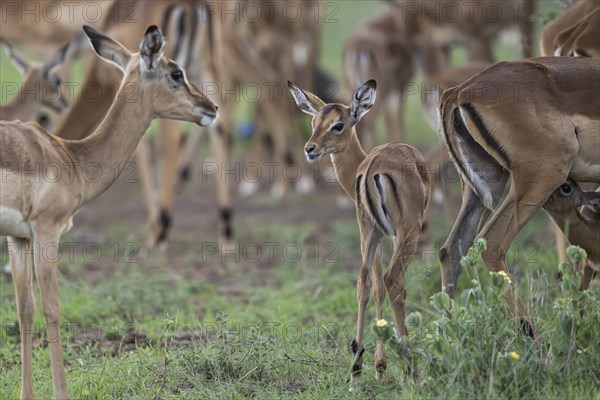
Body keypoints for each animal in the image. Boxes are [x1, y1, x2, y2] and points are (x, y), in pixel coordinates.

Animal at [0, 25, 216, 400]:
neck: (70, 158)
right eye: (176, 72)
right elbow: (53, 310)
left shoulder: (19, 238)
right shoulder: (47, 232)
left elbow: (25, 310)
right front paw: (61, 394)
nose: (212, 107)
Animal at [290, 79, 432, 380]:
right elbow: (383, 285)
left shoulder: (376, 236)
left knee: (362, 281)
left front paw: (376, 361)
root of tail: (373, 168)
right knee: (394, 280)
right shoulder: (391, 235)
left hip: (369, 232)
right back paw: (411, 369)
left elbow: (374, 287)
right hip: (407, 233)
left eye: (337, 124)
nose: (310, 149)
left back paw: (357, 362)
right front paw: (384, 362)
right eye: (314, 122)